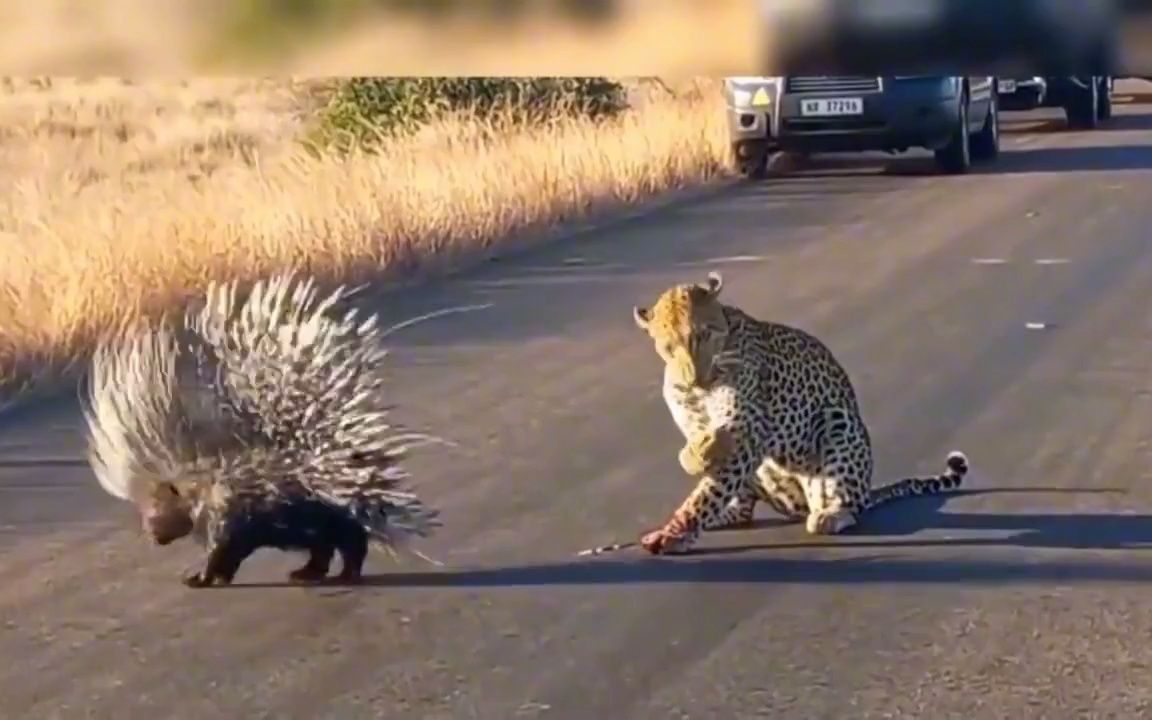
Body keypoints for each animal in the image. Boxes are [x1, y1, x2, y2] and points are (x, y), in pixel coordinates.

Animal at [635, 270, 967, 555]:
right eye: (669, 346)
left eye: (703, 335)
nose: (695, 378)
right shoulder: (702, 426)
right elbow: (705, 465)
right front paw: (694, 458)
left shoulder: (746, 431)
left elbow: (708, 491)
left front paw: (675, 533)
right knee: (742, 506)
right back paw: (727, 513)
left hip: (836, 423)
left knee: (850, 504)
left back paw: (832, 514)